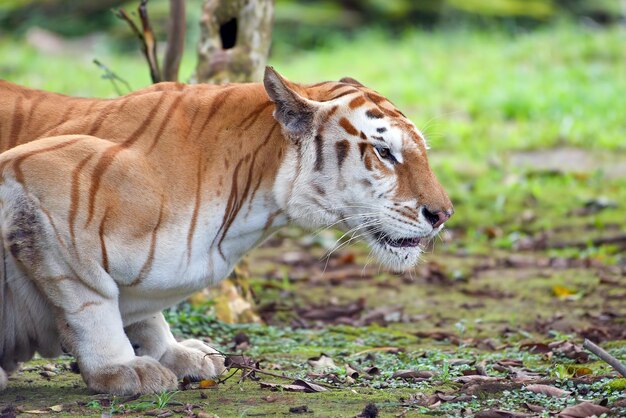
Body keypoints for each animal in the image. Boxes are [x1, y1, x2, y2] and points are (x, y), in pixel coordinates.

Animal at [0, 68, 450, 396]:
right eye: (384, 152)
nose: (443, 214)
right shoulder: (36, 178)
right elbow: (92, 300)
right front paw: (120, 367)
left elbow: (144, 313)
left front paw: (174, 352)